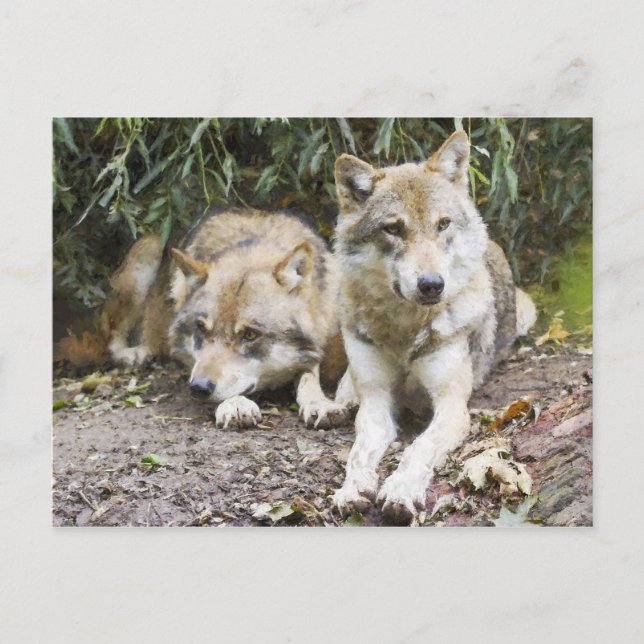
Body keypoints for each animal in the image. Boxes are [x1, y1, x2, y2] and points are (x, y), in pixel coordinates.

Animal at [104, 208, 349, 429]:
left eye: (250, 334)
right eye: (201, 328)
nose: (198, 387)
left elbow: (310, 375)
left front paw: (320, 403)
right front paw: (236, 405)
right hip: (148, 249)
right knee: (112, 333)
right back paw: (135, 353)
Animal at [331, 130, 537, 524]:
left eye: (442, 224)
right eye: (393, 229)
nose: (431, 285)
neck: (404, 330)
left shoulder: (452, 405)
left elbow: (419, 448)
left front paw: (400, 490)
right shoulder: (377, 401)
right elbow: (358, 451)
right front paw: (352, 489)